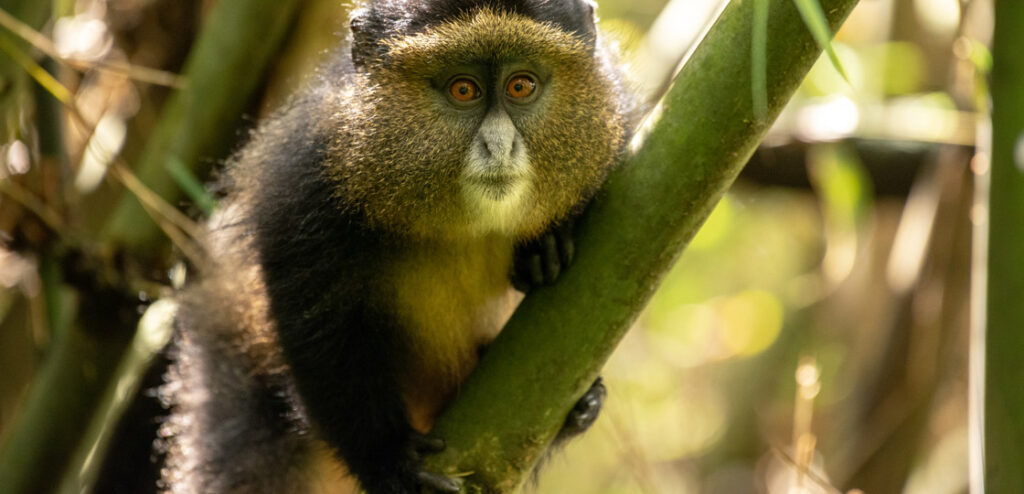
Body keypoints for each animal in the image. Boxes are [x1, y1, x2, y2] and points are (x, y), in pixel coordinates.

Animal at [158, 0, 636, 492]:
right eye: (463, 90)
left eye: (521, 86)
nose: (498, 147)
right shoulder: (307, 182)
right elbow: (319, 330)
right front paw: (387, 459)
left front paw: (545, 245)